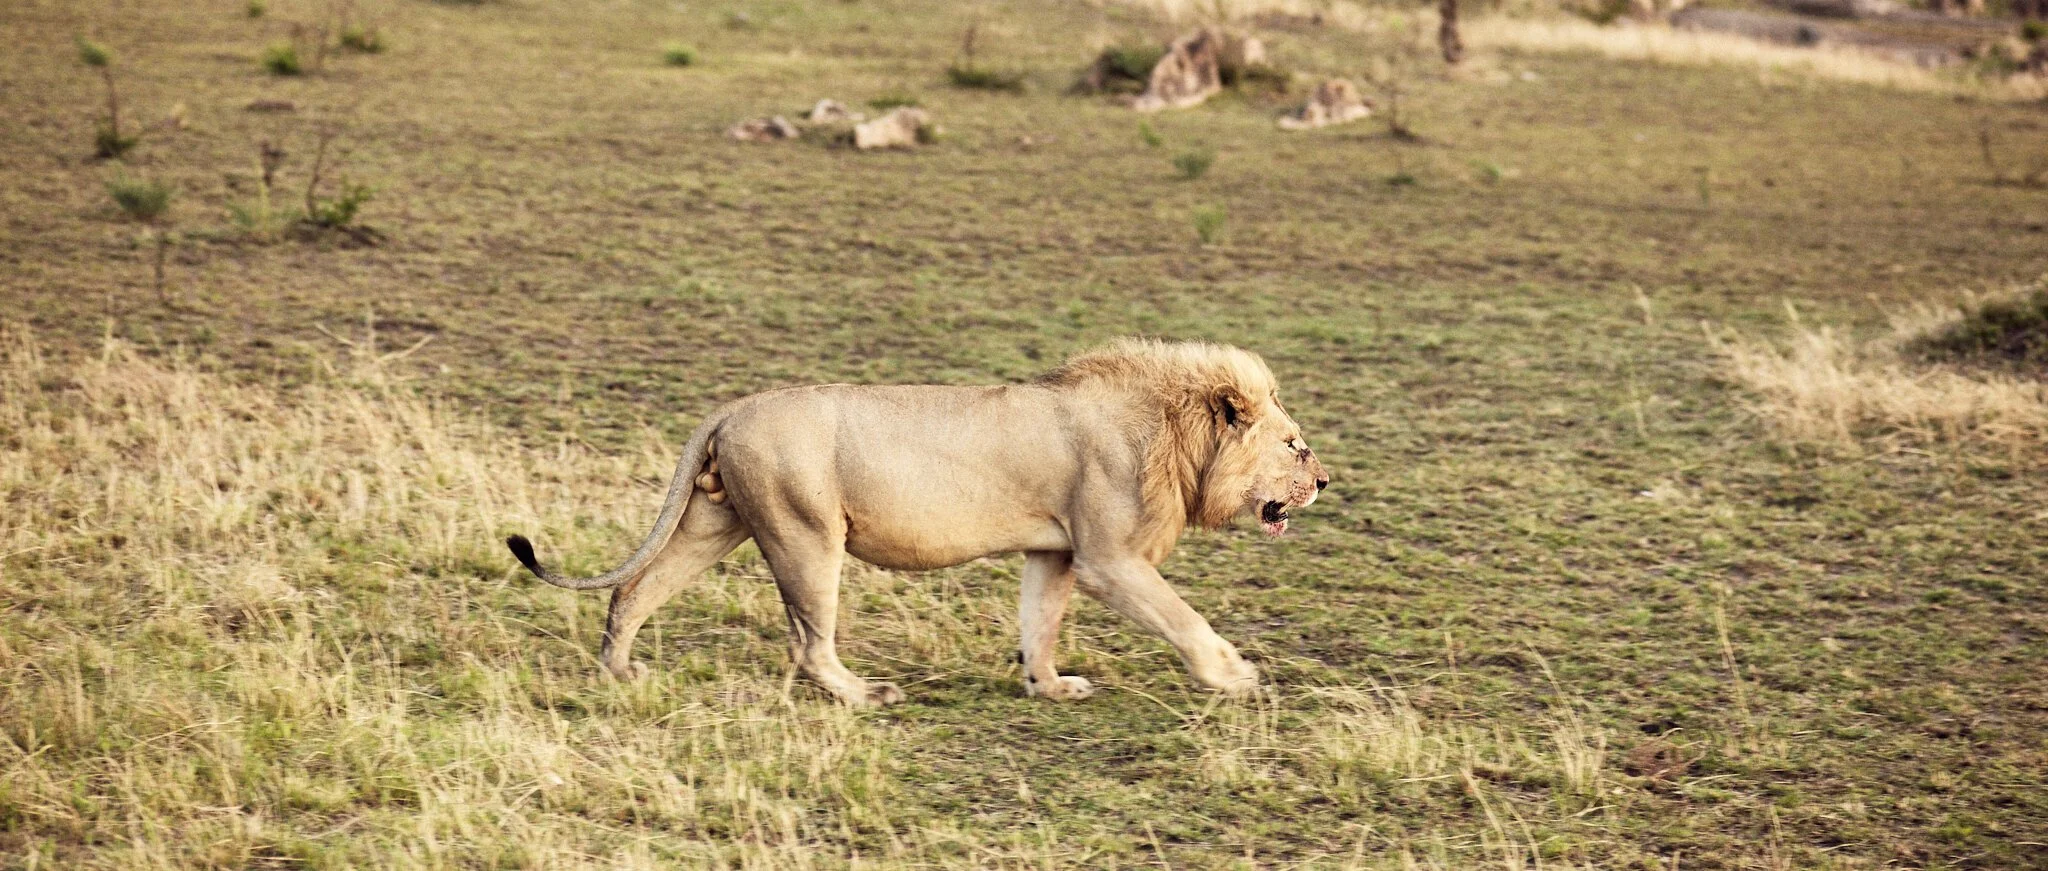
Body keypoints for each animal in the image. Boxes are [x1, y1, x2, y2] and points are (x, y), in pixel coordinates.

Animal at [506, 338, 1329, 707]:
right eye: (1295, 443)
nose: (1324, 480)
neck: (1171, 430)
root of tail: (734, 406)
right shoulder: (1108, 558)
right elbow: (1185, 618)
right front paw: (1233, 674)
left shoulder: (1055, 553)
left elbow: (1039, 624)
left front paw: (1049, 686)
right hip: (806, 533)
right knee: (808, 642)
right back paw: (863, 694)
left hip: (721, 518)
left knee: (633, 590)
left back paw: (621, 673)